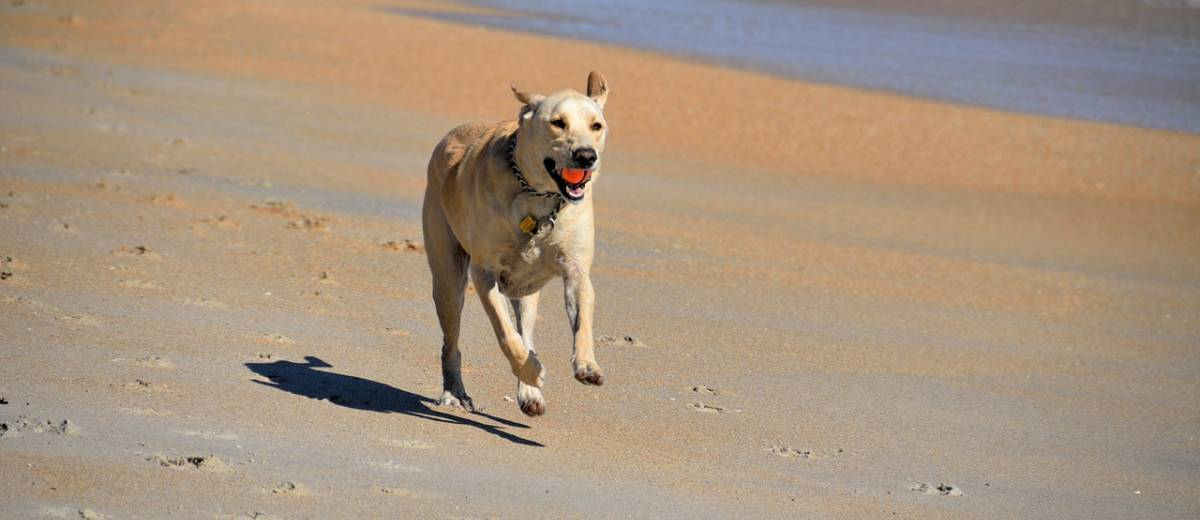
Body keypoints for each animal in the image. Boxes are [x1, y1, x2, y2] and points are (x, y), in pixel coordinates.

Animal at [422, 70, 609, 415]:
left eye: (596, 125)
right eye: (558, 122)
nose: (586, 156)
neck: (539, 197)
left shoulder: (576, 269)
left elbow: (582, 320)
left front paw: (587, 366)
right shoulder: (484, 274)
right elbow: (505, 335)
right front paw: (532, 372)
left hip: (526, 293)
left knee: (526, 331)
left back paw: (529, 394)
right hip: (448, 279)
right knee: (451, 342)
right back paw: (455, 392)